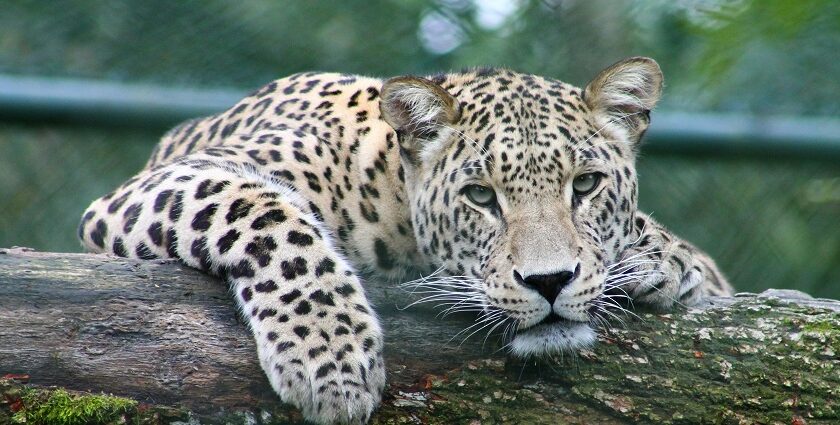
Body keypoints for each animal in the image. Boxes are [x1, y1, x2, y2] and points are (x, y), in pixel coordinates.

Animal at [80, 57, 736, 424]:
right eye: (480, 196)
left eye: (586, 185)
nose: (549, 282)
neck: (389, 193)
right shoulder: (159, 185)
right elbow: (266, 214)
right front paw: (330, 358)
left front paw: (665, 259)